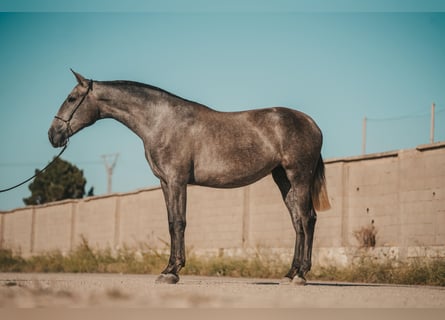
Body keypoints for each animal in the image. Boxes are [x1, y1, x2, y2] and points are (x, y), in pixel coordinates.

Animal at [48, 70, 328, 284]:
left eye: (72, 98)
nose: (53, 134)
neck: (161, 121)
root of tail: (312, 123)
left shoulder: (177, 180)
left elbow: (179, 223)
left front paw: (172, 272)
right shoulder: (164, 182)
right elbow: (171, 222)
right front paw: (168, 269)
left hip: (299, 177)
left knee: (307, 219)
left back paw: (301, 275)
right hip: (283, 179)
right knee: (298, 222)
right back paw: (290, 273)